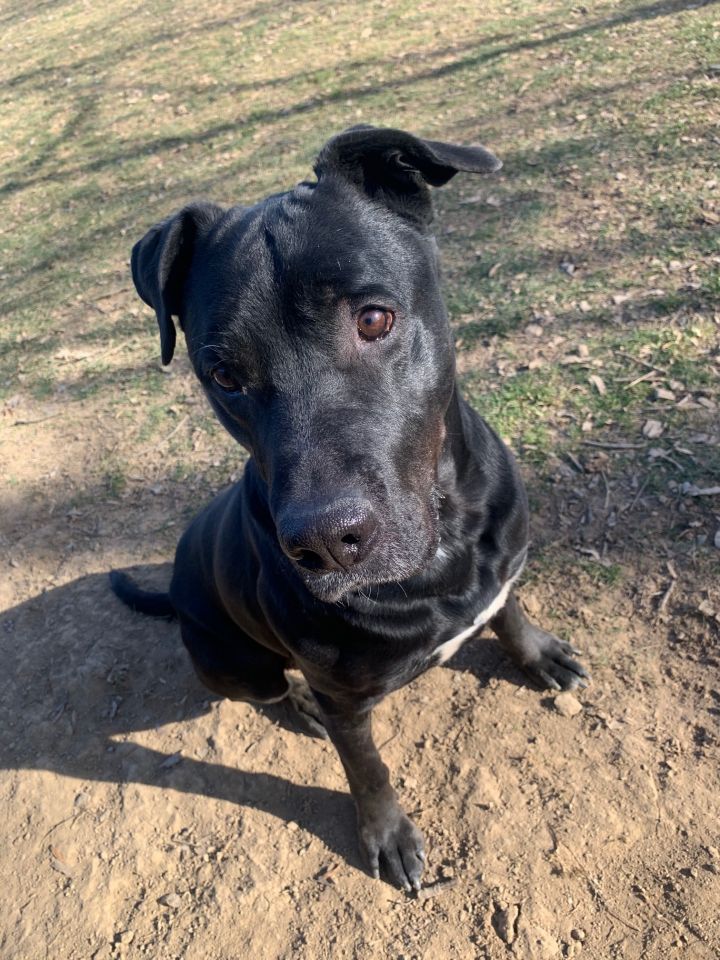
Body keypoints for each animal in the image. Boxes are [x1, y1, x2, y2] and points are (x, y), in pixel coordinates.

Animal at [109, 125, 588, 892]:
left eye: (373, 318)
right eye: (223, 375)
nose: (327, 542)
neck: (446, 544)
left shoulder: (503, 567)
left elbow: (508, 612)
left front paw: (537, 653)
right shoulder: (346, 701)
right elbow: (367, 768)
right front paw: (386, 833)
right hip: (228, 661)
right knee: (270, 688)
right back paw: (295, 701)